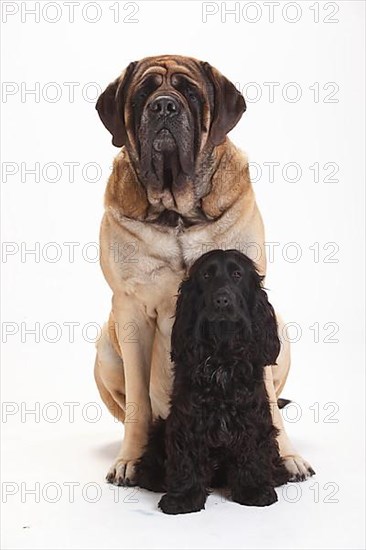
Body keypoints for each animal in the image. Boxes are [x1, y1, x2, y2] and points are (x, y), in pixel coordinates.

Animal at [134, 251, 288, 516]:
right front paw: (183, 497)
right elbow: (186, 459)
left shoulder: (253, 415)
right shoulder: (187, 418)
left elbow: (252, 451)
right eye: (206, 275)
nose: (222, 301)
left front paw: (254, 490)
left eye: (237, 274)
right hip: (160, 427)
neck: (222, 356)